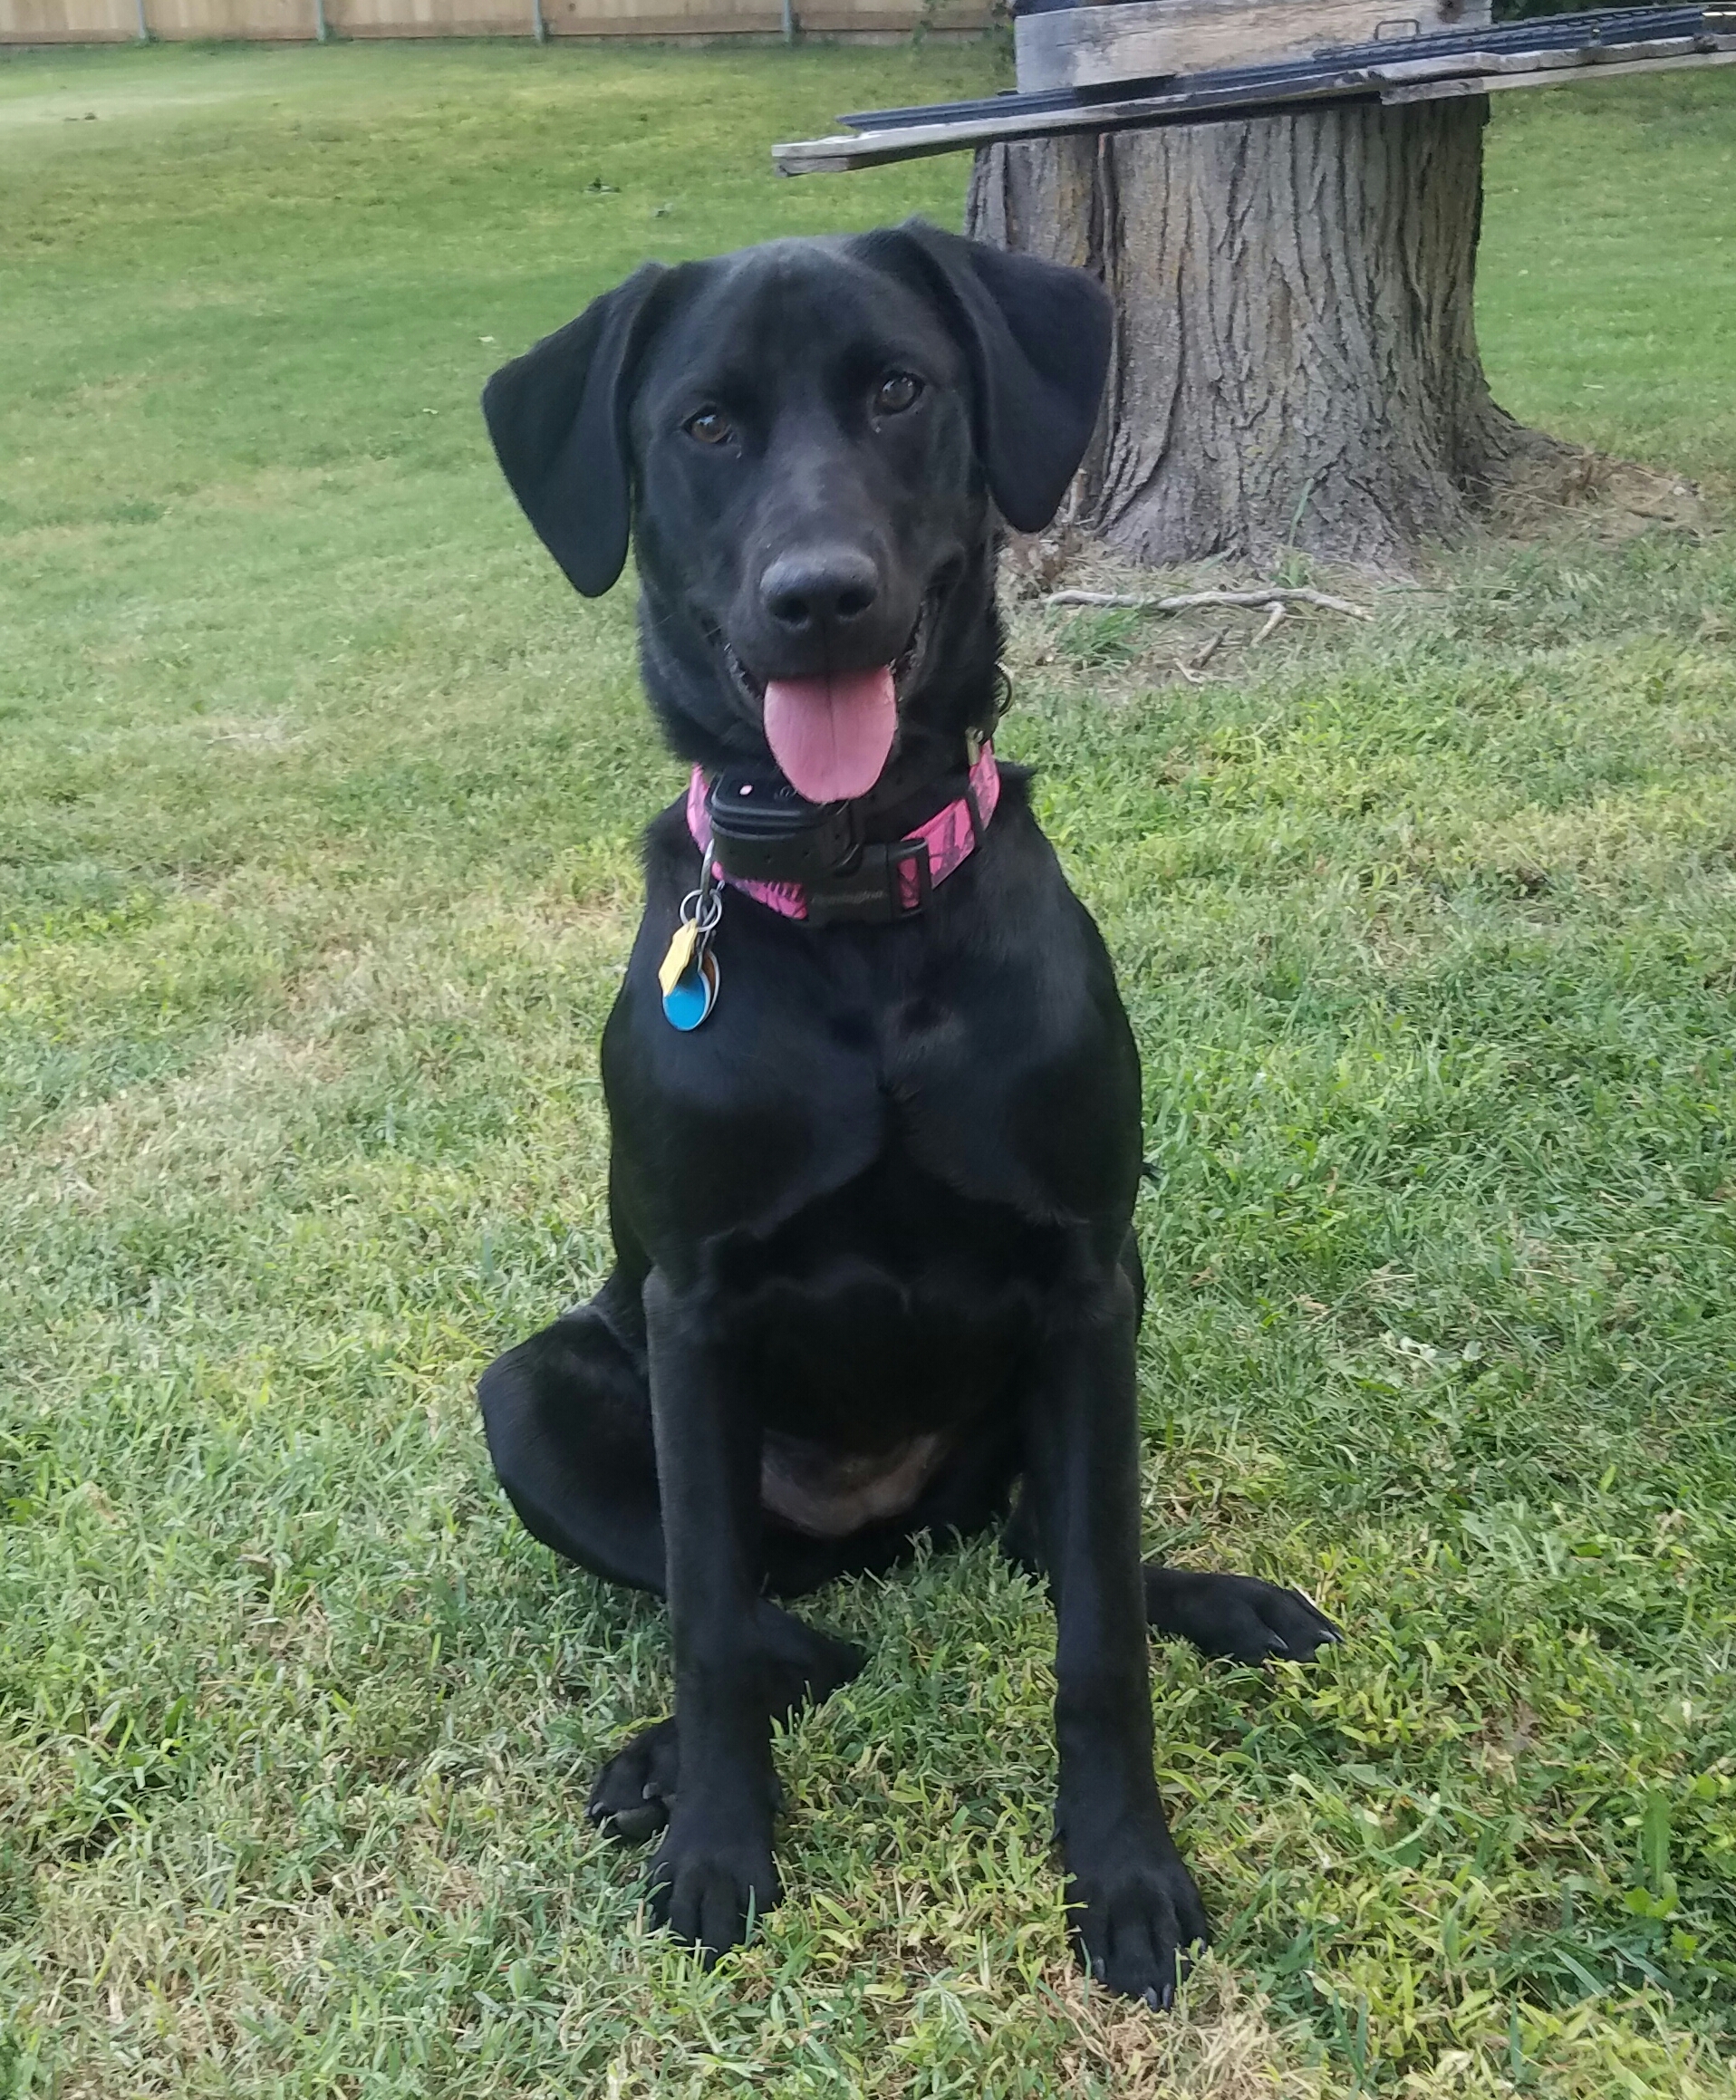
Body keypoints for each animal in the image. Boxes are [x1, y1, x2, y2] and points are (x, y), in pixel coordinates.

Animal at [468, 221, 1335, 2008]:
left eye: (897, 390)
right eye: (705, 424)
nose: (821, 599)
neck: (858, 908)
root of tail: (881, 1527)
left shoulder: (1088, 1286)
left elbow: (1095, 1630)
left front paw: (1123, 1867)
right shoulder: (690, 1313)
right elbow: (712, 1625)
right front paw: (719, 1843)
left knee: (1046, 1551)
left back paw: (1215, 1596)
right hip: (533, 1394)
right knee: (784, 1616)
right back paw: (660, 1754)